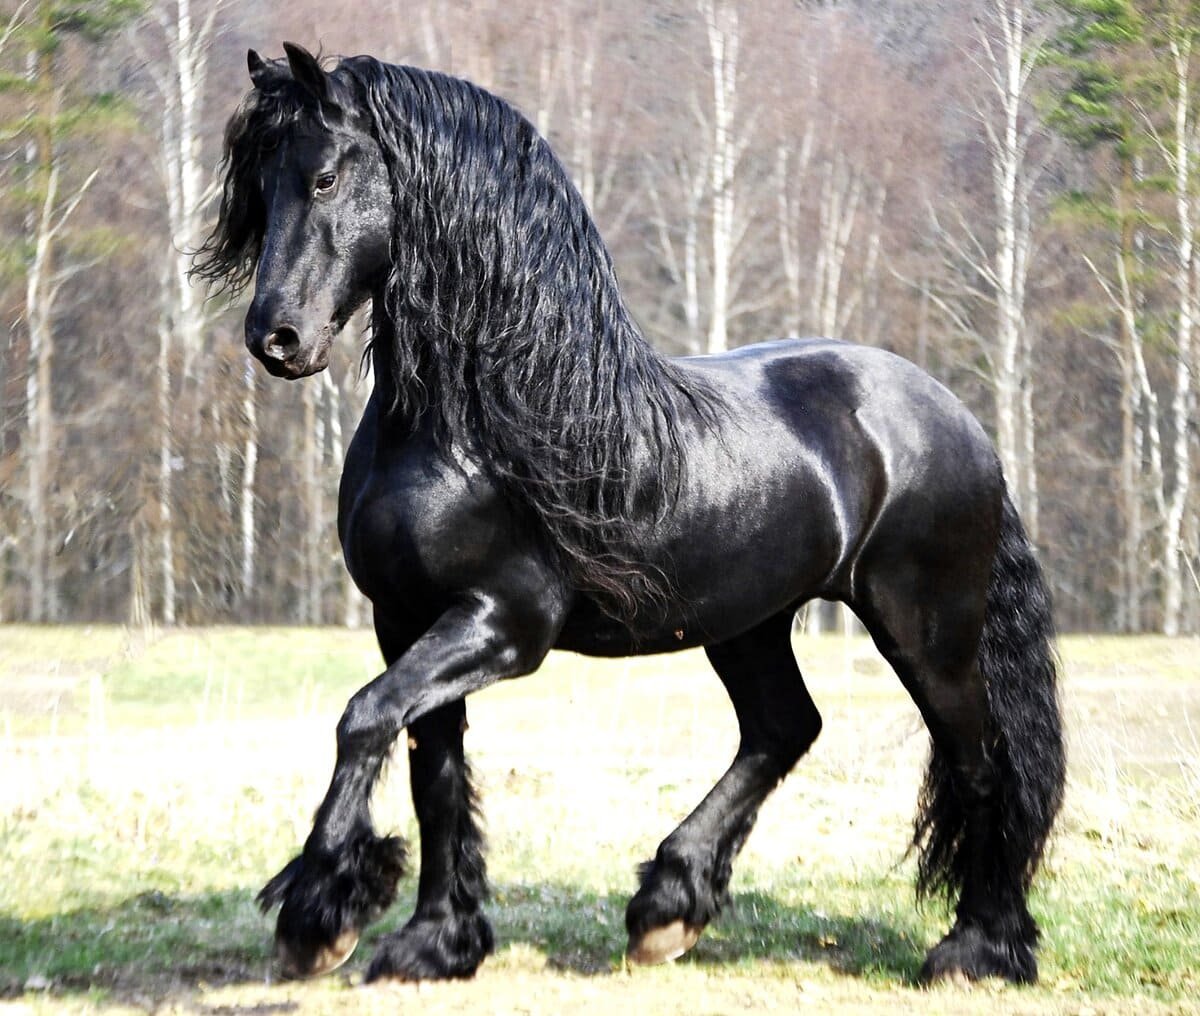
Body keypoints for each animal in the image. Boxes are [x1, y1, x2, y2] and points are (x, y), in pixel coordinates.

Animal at [193, 43, 1065, 987]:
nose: (275, 338)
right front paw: (434, 941)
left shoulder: (503, 625)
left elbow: (362, 720)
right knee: (784, 727)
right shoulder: (405, 619)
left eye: (323, 177)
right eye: (257, 188)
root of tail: (958, 419)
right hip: (749, 622)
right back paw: (668, 908)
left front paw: (318, 914)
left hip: (926, 631)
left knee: (981, 766)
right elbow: (434, 772)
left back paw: (977, 947)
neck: (475, 426)